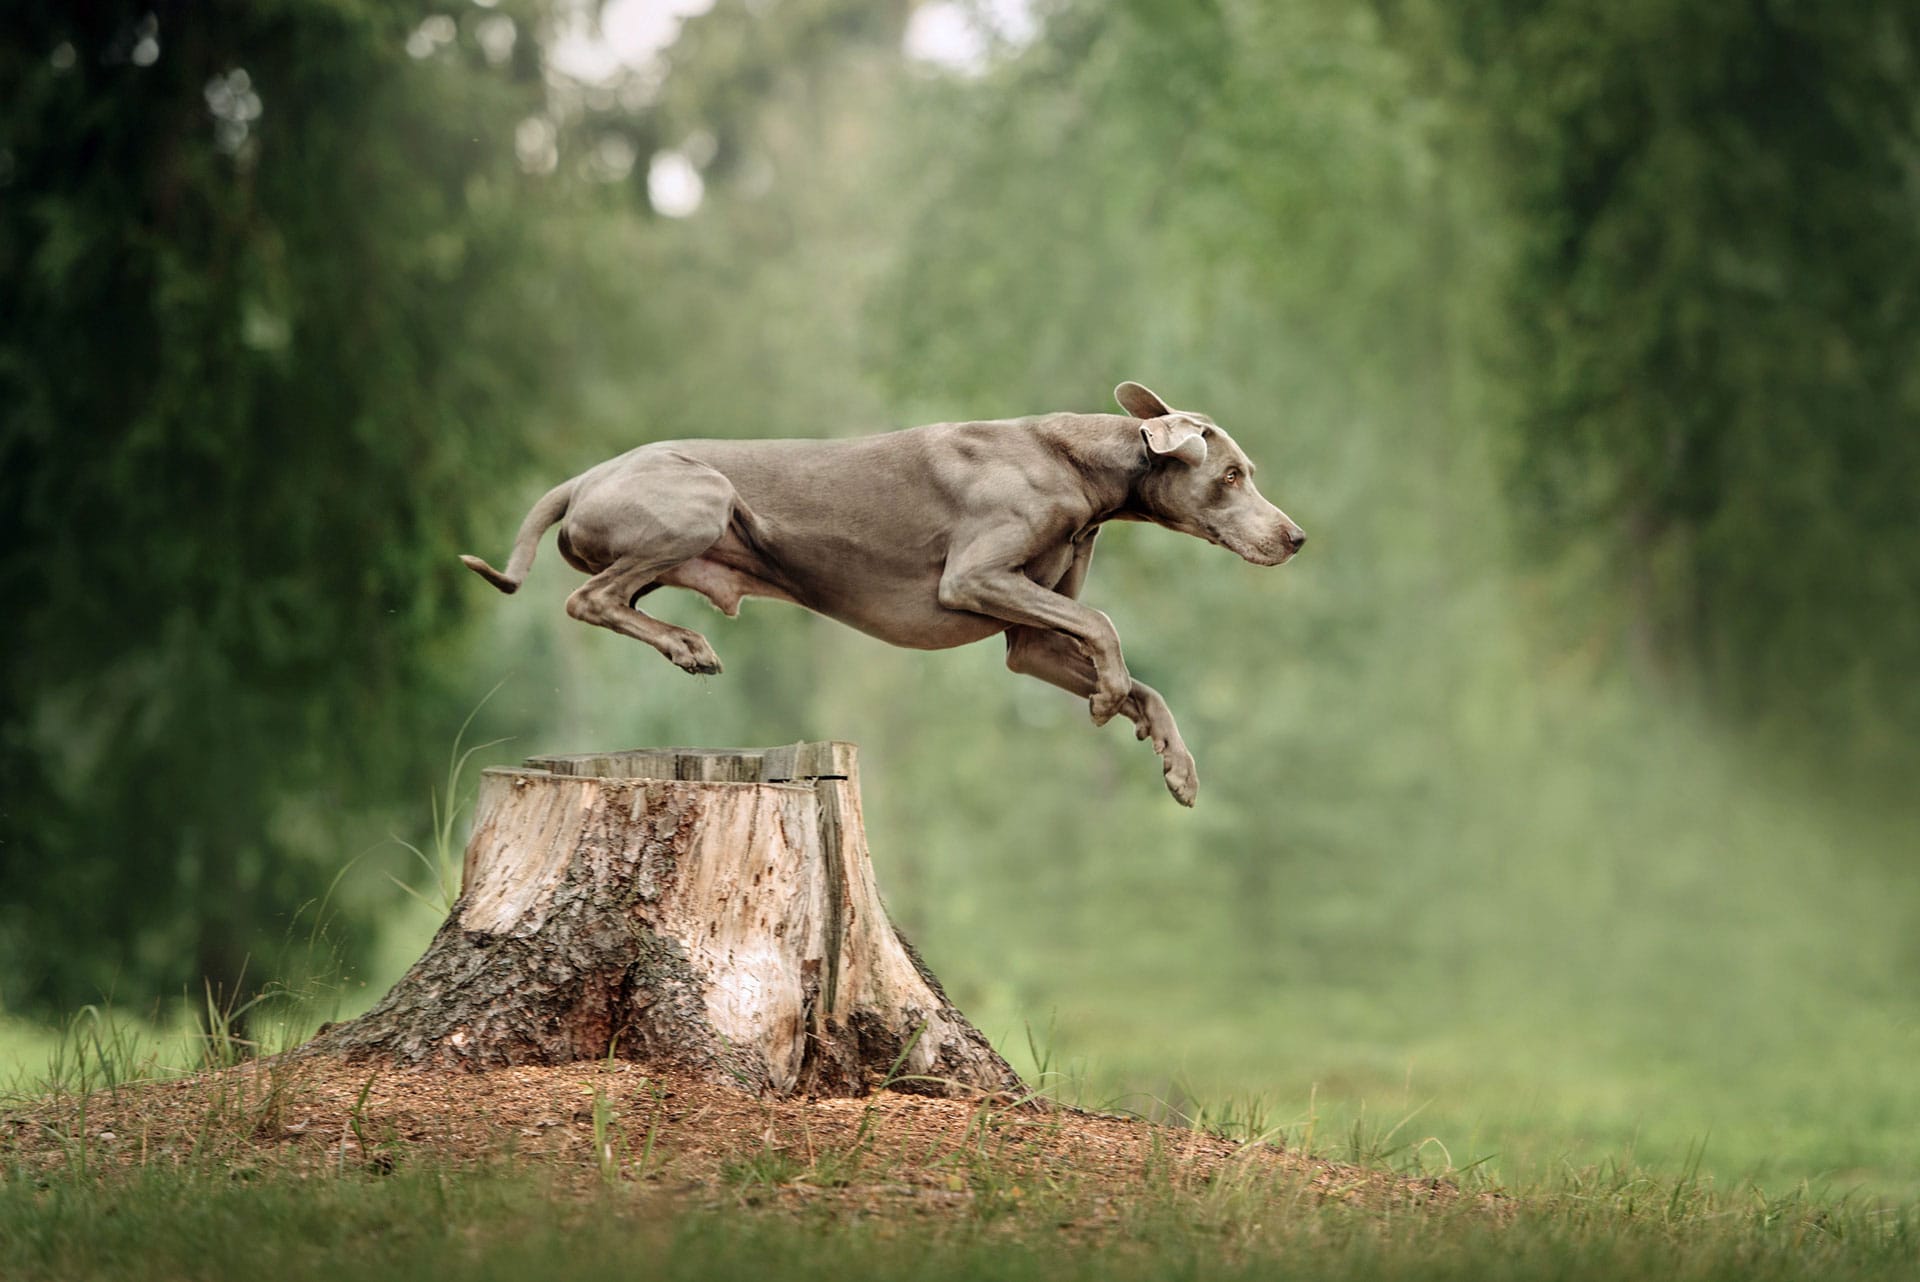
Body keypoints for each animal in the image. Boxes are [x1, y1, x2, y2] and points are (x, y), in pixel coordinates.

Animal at [462, 378, 1305, 802]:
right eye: (1233, 477)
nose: (1296, 537)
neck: (1078, 463)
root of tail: (583, 477)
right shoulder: (975, 577)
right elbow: (1105, 626)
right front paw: (1107, 695)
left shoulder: (1030, 642)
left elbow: (1140, 682)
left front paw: (1176, 765)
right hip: (702, 498)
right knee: (587, 600)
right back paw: (689, 645)